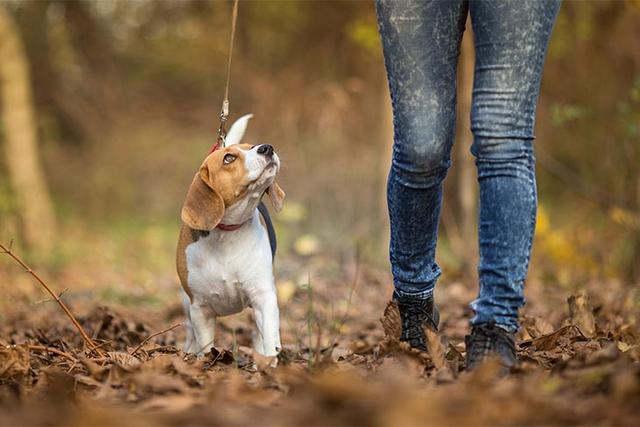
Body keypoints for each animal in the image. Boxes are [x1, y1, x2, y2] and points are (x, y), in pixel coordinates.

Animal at [176, 114, 284, 358]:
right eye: (229, 158)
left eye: (251, 146)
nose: (267, 148)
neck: (227, 234)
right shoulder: (200, 308)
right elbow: (205, 346)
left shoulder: (263, 296)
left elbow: (268, 336)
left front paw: (269, 361)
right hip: (187, 305)